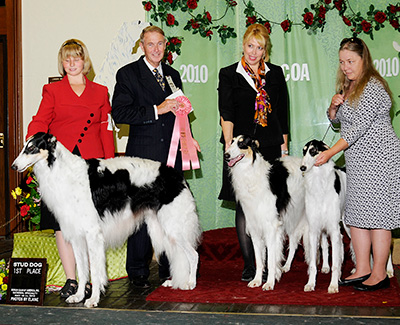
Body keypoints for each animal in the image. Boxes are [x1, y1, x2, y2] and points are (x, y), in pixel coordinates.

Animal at [12, 132, 202, 306]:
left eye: (31, 148)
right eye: (24, 146)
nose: (14, 166)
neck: (63, 171)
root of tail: (178, 177)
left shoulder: (92, 234)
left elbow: (95, 272)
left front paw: (93, 299)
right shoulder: (77, 236)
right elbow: (82, 270)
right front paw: (79, 296)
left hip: (173, 228)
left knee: (193, 254)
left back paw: (191, 283)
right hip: (164, 229)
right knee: (180, 256)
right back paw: (175, 281)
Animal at [223, 133, 304, 290]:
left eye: (241, 144)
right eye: (232, 142)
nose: (226, 155)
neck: (251, 173)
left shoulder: (271, 227)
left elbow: (271, 260)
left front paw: (270, 282)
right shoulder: (255, 227)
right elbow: (260, 260)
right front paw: (256, 280)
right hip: (293, 217)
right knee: (294, 243)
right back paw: (286, 267)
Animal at [300, 138, 346, 292]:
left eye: (313, 151)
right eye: (303, 151)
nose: (302, 168)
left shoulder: (334, 229)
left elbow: (336, 264)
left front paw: (333, 285)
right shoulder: (314, 229)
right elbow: (313, 264)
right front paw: (310, 283)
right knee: (325, 247)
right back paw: (325, 266)